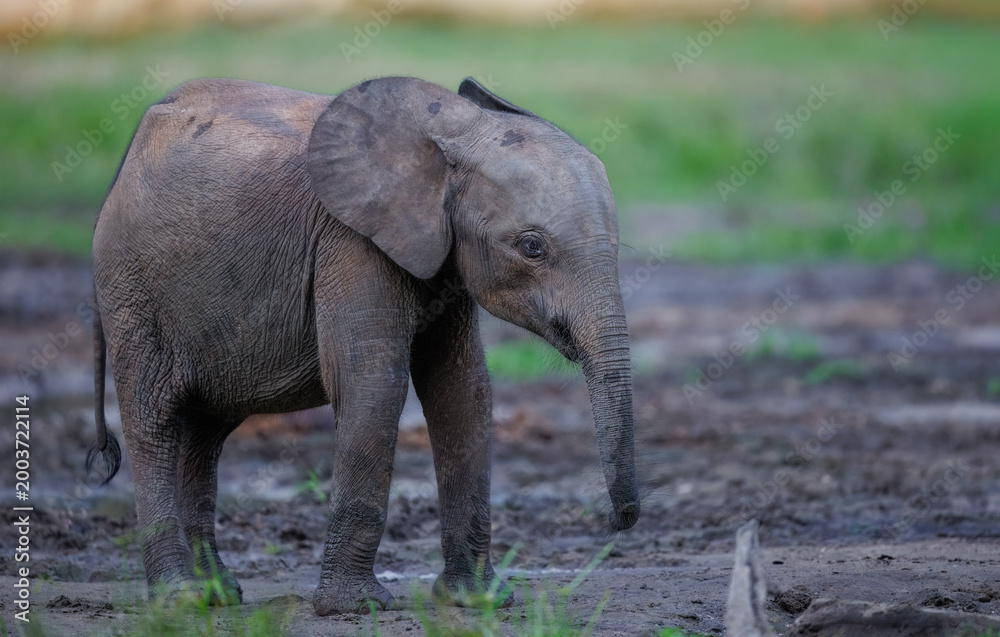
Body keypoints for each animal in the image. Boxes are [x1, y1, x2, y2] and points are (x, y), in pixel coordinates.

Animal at [87, 75, 639, 615]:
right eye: (532, 247)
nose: (619, 522)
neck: (454, 131)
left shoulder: (443, 256)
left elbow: (463, 393)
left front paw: (478, 601)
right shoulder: (350, 241)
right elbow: (374, 385)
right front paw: (355, 607)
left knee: (204, 434)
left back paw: (217, 596)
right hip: (133, 293)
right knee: (155, 422)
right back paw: (180, 599)